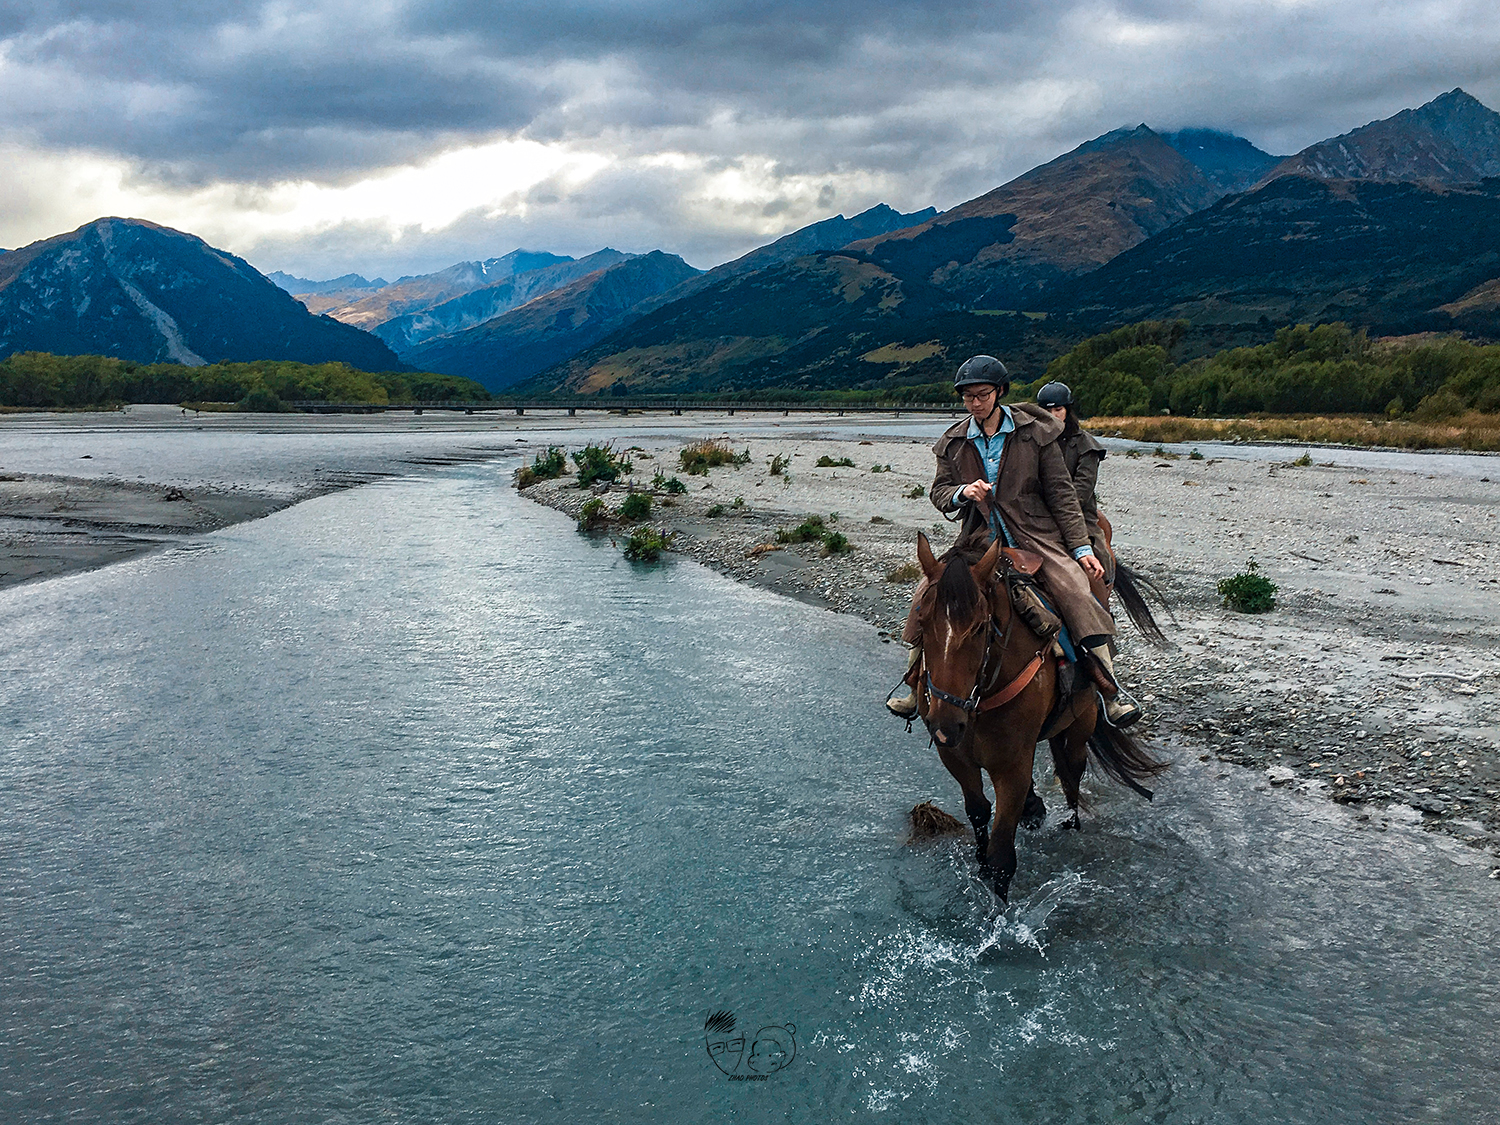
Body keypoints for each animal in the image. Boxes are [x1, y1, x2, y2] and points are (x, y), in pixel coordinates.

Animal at [906, 534, 1164, 906]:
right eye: (922, 622)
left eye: (980, 627)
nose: (945, 725)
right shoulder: (957, 759)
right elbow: (979, 813)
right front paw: (981, 870)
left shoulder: (1010, 766)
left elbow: (1002, 855)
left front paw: (999, 916)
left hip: (1079, 726)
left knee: (1072, 774)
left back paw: (1069, 821)